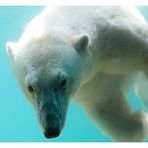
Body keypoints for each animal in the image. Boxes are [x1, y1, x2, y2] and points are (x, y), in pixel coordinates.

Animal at [5, 6, 148, 142]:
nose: (51, 129)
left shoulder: (121, 36)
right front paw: (141, 121)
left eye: (63, 82)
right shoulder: (91, 82)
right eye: (31, 88)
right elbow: (104, 106)